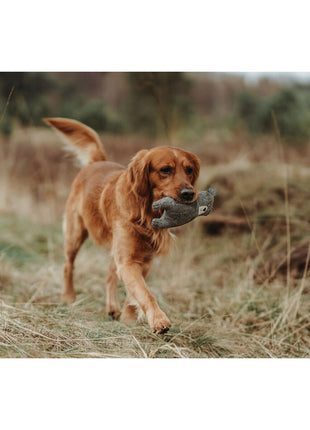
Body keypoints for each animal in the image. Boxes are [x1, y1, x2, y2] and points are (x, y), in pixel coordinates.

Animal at [43, 116, 200, 332]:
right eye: (165, 170)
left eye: (189, 170)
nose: (189, 193)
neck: (146, 213)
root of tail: (97, 162)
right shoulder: (128, 261)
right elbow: (145, 293)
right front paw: (159, 320)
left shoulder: (143, 261)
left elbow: (135, 293)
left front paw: (128, 318)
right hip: (75, 234)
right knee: (68, 265)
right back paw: (68, 297)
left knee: (109, 277)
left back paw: (112, 308)